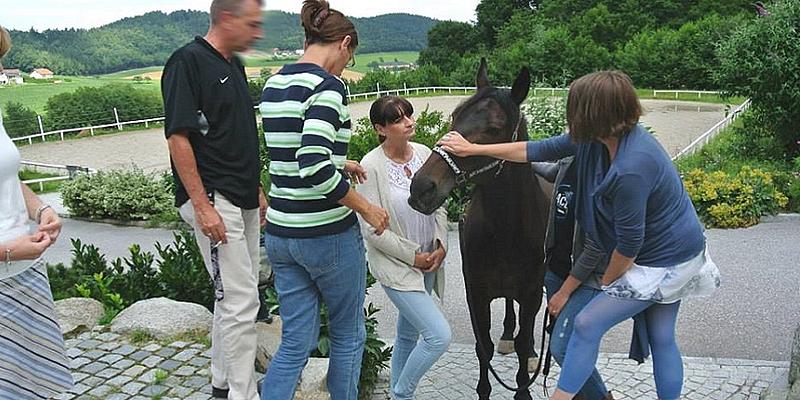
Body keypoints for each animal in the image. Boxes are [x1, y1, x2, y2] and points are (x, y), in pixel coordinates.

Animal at [410, 60, 552, 400]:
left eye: (493, 129)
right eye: (454, 117)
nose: (422, 187)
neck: (507, 229)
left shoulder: (531, 293)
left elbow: (525, 339)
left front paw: (523, 388)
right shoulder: (477, 293)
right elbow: (482, 347)